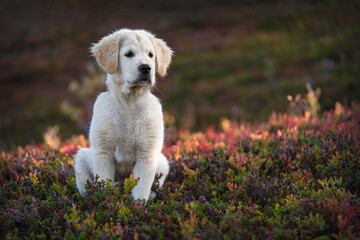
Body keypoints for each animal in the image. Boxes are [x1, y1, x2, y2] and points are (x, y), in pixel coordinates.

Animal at [74, 28, 172, 201]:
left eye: (150, 55)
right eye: (129, 54)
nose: (146, 68)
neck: (129, 104)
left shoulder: (147, 154)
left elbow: (140, 191)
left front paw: (137, 206)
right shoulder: (103, 151)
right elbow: (104, 185)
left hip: (162, 163)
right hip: (82, 157)